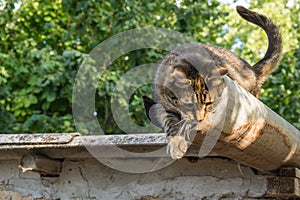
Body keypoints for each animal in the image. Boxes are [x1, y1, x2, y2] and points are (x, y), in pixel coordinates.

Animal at [143, 5, 282, 159]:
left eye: (208, 103)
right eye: (189, 104)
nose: (200, 119)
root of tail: (251, 69)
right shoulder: (162, 104)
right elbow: (169, 121)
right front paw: (176, 143)